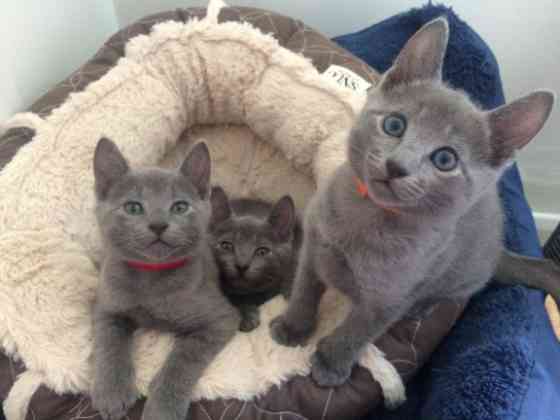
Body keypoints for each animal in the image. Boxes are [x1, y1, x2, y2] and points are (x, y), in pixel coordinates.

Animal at [91, 139, 238, 420]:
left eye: (180, 207)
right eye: (133, 207)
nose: (158, 224)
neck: (152, 277)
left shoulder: (222, 318)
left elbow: (184, 359)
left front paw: (163, 408)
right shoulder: (107, 305)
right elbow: (109, 341)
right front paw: (112, 391)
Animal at [272, 18, 556, 388]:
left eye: (445, 159)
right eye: (395, 124)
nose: (397, 166)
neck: (367, 219)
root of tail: (499, 251)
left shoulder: (390, 297)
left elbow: (358, 329)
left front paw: (331, 362)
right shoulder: (314, 245)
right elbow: (305, 290)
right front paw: (293, 327)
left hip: (458, 278)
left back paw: (421, 309)